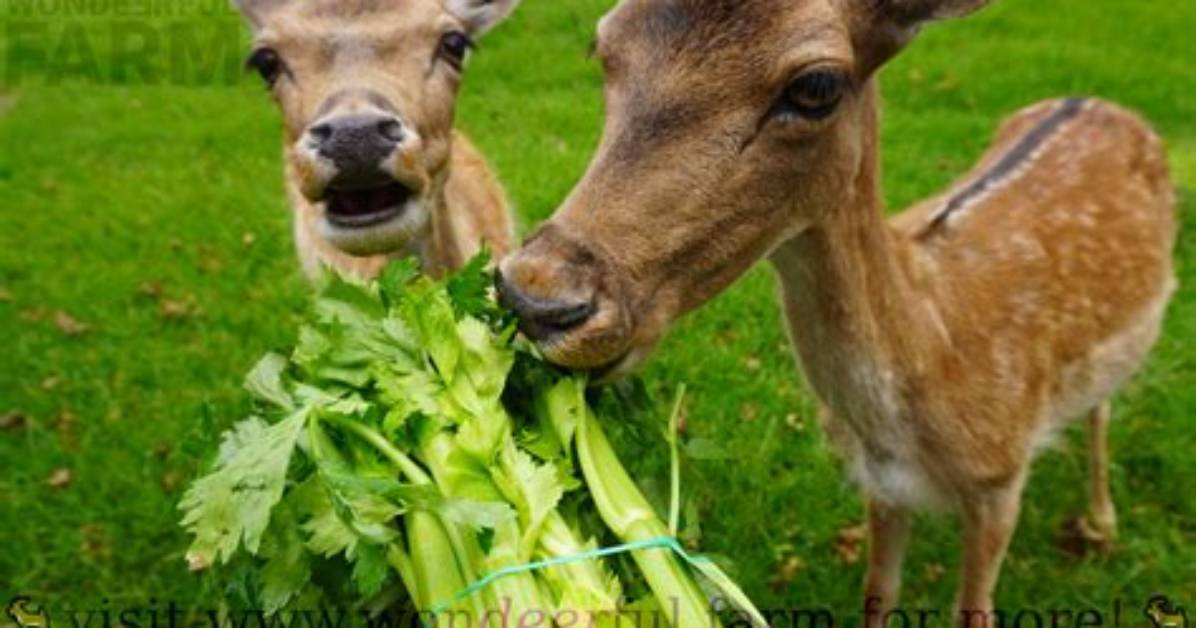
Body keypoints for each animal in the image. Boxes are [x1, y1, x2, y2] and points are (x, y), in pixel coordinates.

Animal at [495, 0, 1177, 624]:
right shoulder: (882, 486)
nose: (534, 295)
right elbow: (878, 594)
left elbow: (973, 609)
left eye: (817, 86)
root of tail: (1097, 100)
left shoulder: (1000, 479)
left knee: (1102, 407)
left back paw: (1102, 524)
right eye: (602, 44)